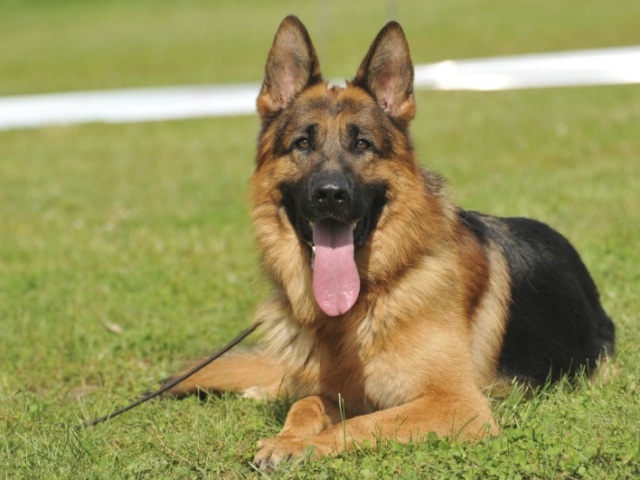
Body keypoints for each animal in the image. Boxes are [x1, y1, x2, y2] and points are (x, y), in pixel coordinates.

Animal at [169, 15, 616, 468]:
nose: (330, 194)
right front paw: (288, 434)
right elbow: (306, 404)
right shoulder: (335, 392)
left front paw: (297, 445)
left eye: (362, 144)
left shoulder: (457, 405)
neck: (366, 300)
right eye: (303, 143)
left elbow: (363, 423)